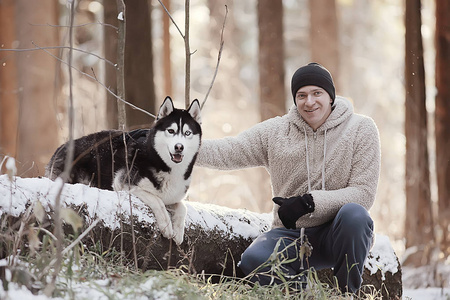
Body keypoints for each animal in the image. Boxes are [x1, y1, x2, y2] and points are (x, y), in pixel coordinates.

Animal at [45, 97, 200, 245]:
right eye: (171, 131)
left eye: (187, 133)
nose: (179, 147)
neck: (163, 164)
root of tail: (59, 148)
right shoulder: (123, 183)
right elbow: (157, 200)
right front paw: (166, 226)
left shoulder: (174, 196)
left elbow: (182, 207)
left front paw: (178, 232)